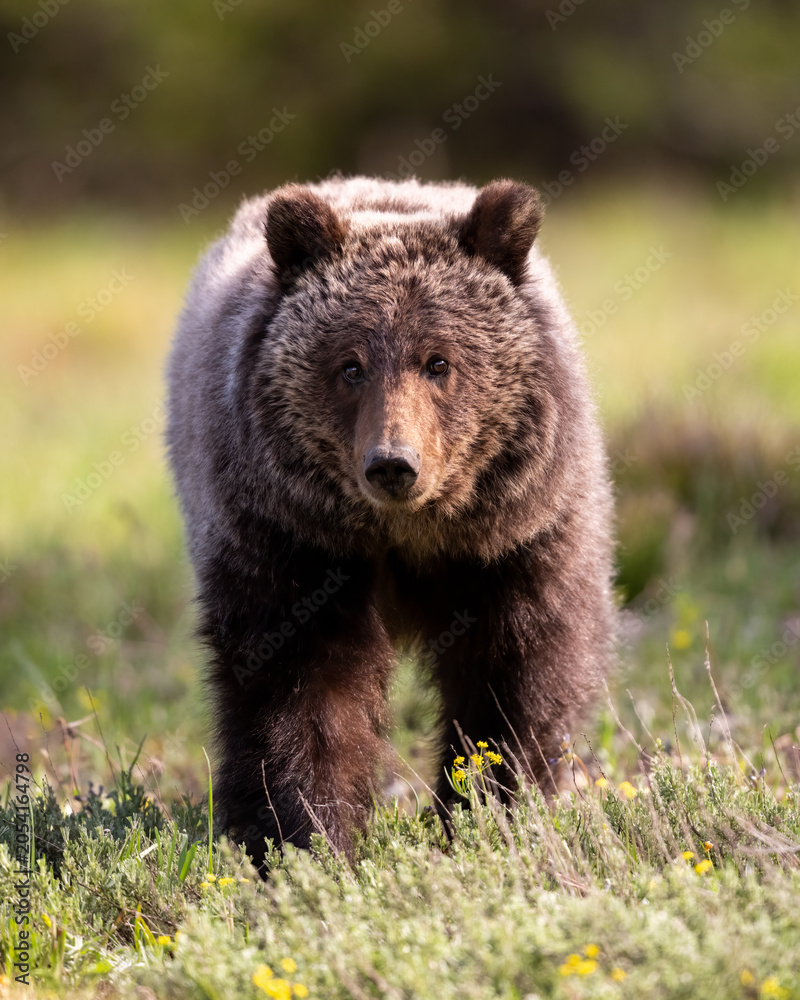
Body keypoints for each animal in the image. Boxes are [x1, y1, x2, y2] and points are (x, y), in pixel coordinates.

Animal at [167, 176, 616, 871]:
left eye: (439, 361)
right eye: (350, 365)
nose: (393, 464)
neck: (409, 535)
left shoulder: (515, 541)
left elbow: (516, 676)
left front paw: (492, 809)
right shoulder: (294, 544)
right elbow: (303, 693)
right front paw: (308, 837)